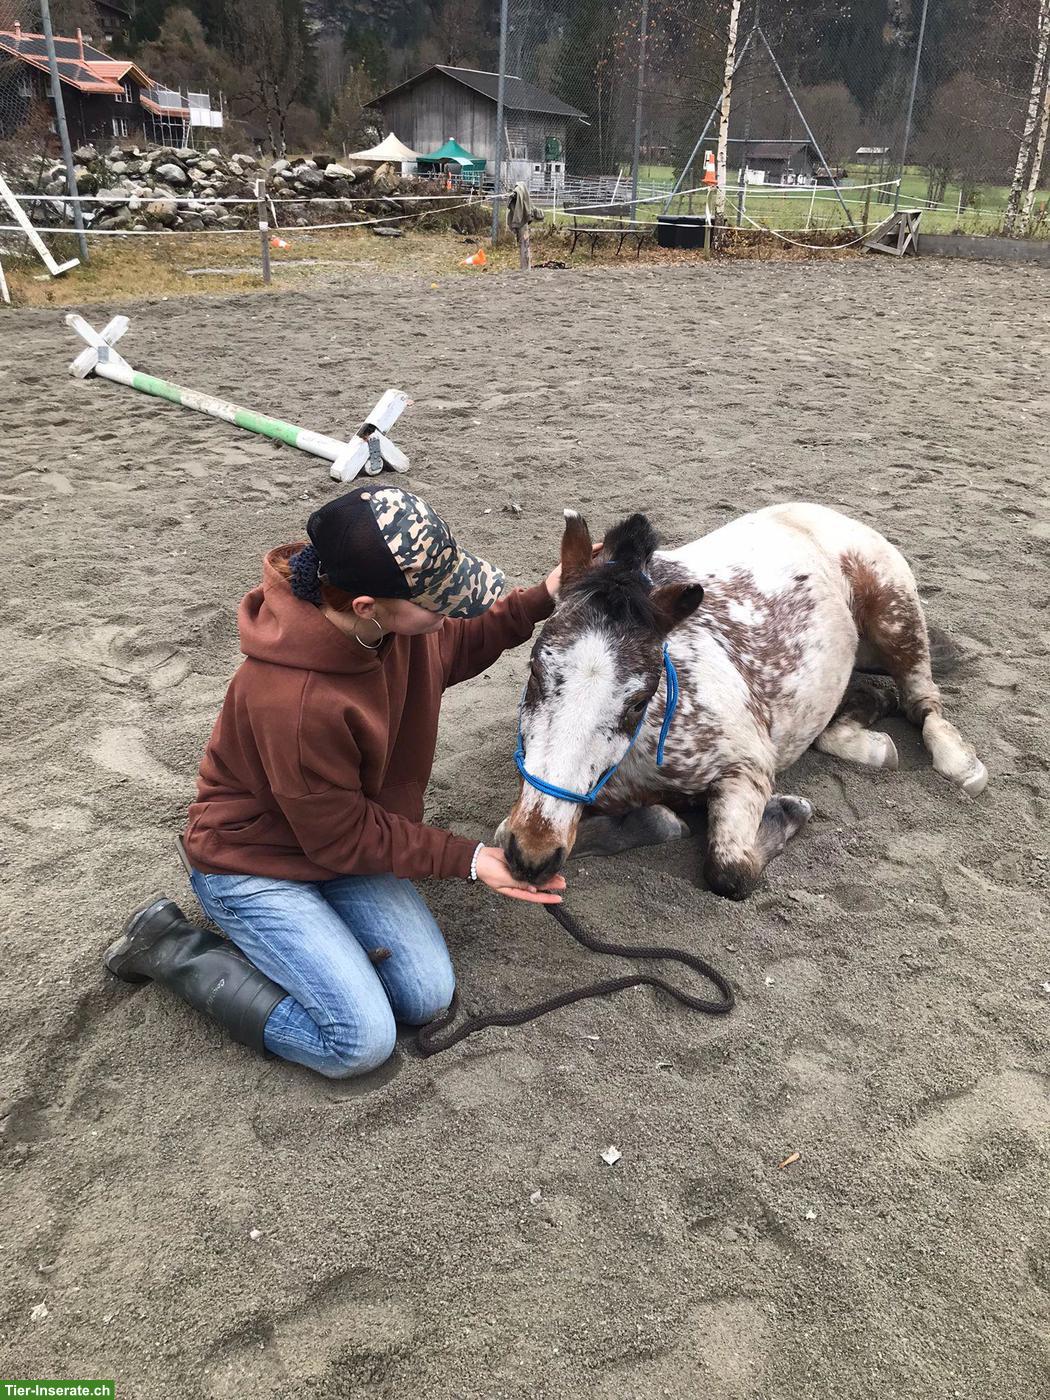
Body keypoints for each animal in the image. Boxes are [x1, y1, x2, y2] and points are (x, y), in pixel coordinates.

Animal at [497, 503, 988, 900]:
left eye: (637, 701)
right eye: (535, 672)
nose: (532, 853)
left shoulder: (746, 768)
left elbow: (731, 871)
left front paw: (787, 811)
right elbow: (507, 831)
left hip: (895, 614)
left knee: (922, 701)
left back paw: (958, 763)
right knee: (865, 701)